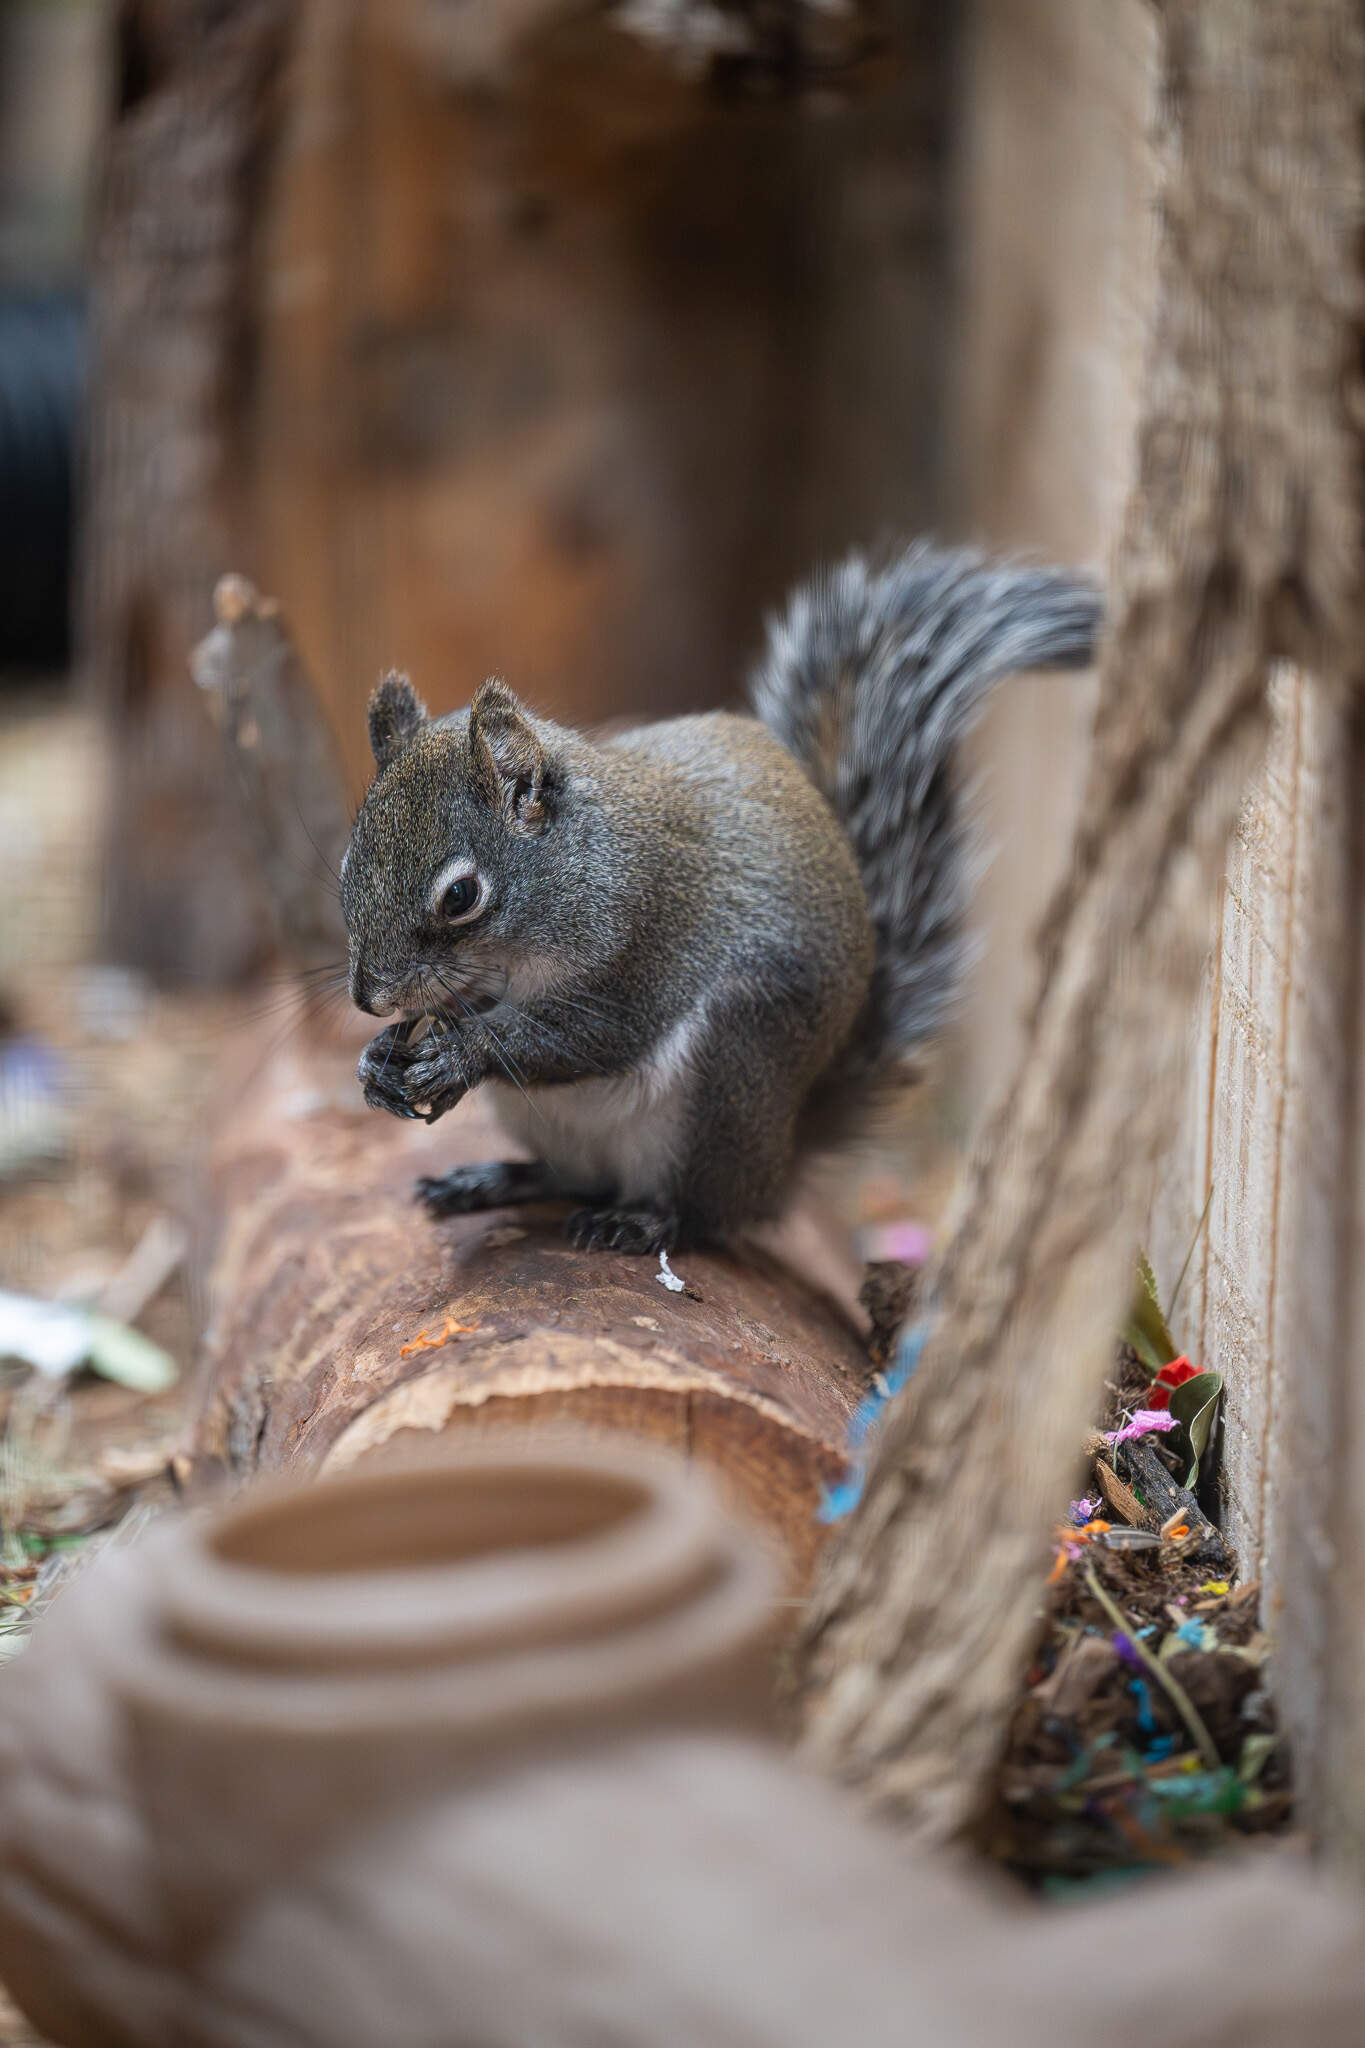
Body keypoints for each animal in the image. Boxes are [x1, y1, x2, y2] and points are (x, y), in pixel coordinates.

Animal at [341, 542, 1101, 1255]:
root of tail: (782, 1160)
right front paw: (378, 1060)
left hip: (726, 1074)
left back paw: (644, 1219)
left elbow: (583, 1036)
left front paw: (459, 1052)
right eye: (349, 860)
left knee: (704, 1213)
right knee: (570, 1178)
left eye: (461, 896)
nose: (369, 998)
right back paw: (493, 1179)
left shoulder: (644, 942)